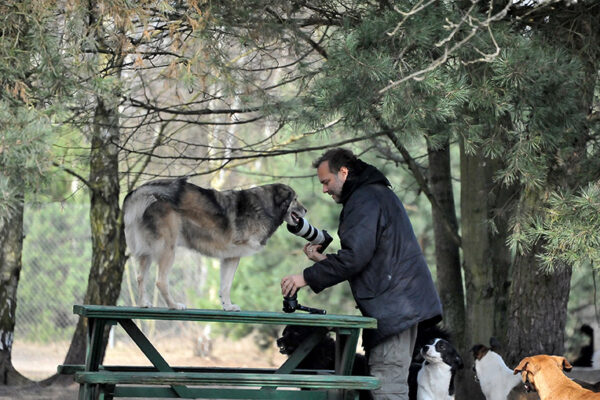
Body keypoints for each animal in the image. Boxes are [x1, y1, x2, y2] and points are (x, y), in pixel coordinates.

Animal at [123, 177, 308, 310]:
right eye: (295, 199)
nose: (306, 210)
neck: (264, 207)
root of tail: (143, 192)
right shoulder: (233, 256)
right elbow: (226, 285)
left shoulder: (230, 257)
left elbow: (225, 286)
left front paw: (228, 306)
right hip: (168, 249)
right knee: (160, 282)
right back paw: (174, 306)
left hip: (146, 252)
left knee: (140, 277)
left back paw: (143, 303)